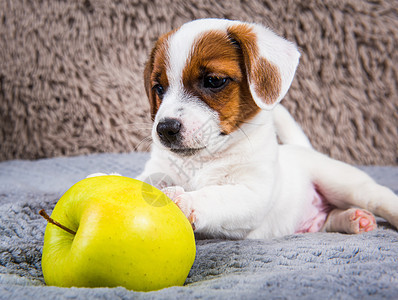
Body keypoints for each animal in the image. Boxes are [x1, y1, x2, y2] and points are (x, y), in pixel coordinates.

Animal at [131, 18, 398, 239]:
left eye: (213, 81)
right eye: (159, 88)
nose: (165, 128)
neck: (201, 161)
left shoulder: (253, 193)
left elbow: (216, 195)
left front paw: (185, 200)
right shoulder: (158, 169)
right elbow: (148, 178)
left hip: (346, 185)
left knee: (379, 197)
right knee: (329, 218)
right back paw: (353, 219)